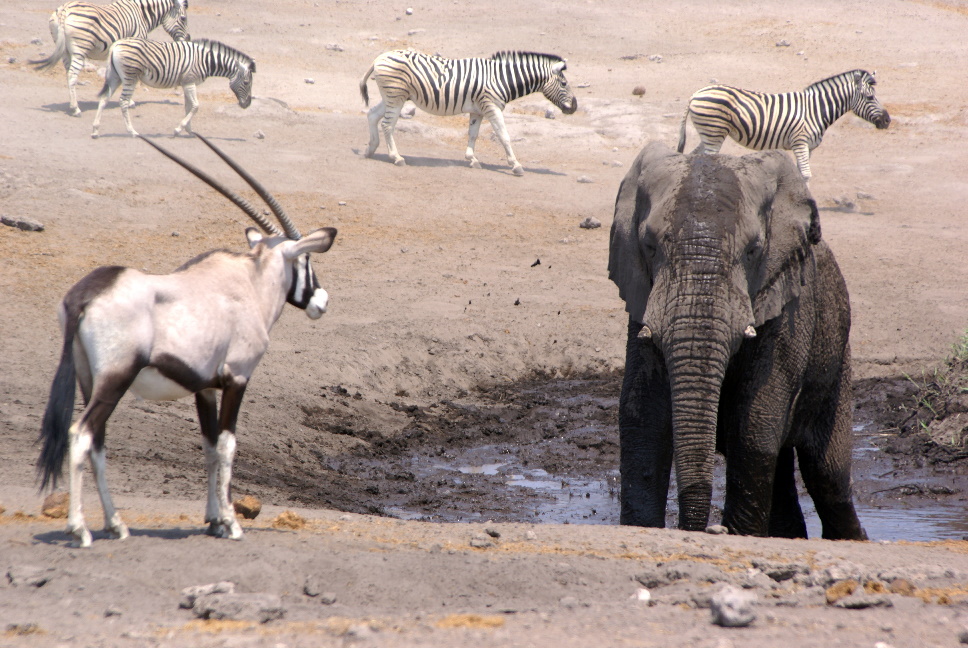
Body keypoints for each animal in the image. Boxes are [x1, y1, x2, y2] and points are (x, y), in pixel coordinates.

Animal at [33, 0, 188, 117]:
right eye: (184, 18)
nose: (188, 38)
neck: (142, 14)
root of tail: (64, 10)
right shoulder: (134, 46)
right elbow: (130, 80)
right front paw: (130, 102)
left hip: (65, 51)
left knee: (68, 75)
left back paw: (71, 104)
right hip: (79, 50)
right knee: (72, 75)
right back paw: (75, 109)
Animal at [91, 37, 255, 138]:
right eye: (247, 83)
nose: (247, 105)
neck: (206, 61)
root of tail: (116, 45)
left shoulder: (186, 83)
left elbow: (188, 107)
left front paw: (189, 131)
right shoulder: (189, 82)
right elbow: (195, 106)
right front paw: (178, 130)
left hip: (115, 77)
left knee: (104, 99)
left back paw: (95, 131)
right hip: (130, 77)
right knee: (124, 102)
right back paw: (132, 132)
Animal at [362, 48, 576, 175]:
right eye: (564, 84)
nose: (574, 107)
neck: (501, 79)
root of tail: (379, 57)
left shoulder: (478, 111)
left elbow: (473, 134)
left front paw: (472, 159)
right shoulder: (492, 107)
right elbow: (504, 136)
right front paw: (515, 165)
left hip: (392, 97)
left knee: (372, 115)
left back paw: (370, 150)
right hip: (396, 97)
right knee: (387, 125)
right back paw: (396, 158)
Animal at [608, 142, 864, 540]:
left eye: (753, 250)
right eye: (649, 246)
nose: (703, 529)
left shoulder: (788, 306)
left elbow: (755, 422)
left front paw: (739, 533)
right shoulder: (640, 296)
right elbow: (643, 416)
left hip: (837, 355)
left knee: (828, 478)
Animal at [672, 70, 892, 180]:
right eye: (870, 97)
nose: (887, 120)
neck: (815, 110)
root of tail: (695, 94)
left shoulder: (808, 147)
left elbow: (801, 174)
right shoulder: (800, 142)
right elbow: (806, 175)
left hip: (710, 134)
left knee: (694, 157)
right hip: (714, 133)